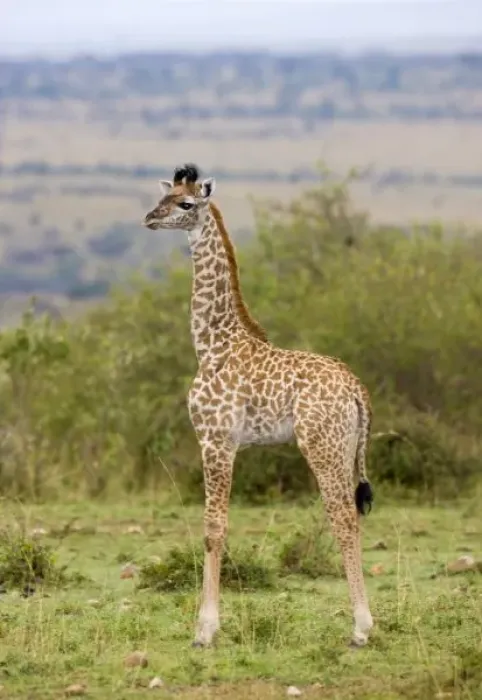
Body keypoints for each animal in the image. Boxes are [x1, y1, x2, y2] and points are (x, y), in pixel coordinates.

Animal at [142, 163, 374, 648]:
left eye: (185, 203)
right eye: (164, 198)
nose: (150, 218)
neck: (211, 346)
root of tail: (356, 389)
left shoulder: (215, 440)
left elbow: (213, 528)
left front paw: (205, 629)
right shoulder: (225, 444)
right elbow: (218, 525)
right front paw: (208, 625)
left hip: (322, 446)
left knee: (343, 516)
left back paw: (362, 628)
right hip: (347, 448)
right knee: (354, 518)